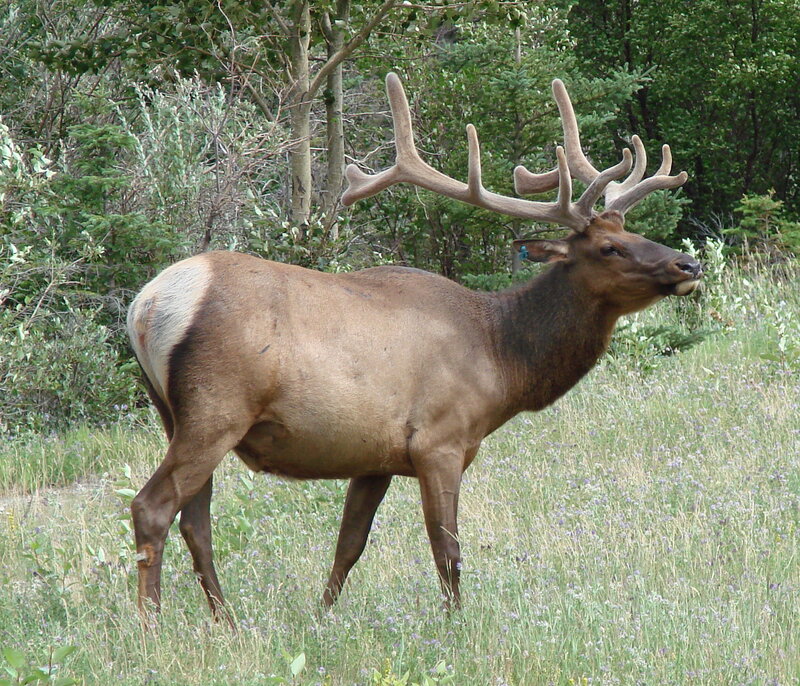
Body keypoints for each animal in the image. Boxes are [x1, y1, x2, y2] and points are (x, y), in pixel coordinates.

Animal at [127, 73, 702, 623]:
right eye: (609, 247)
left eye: (634, 230)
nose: (689, 263)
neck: (501, 360)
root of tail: (146, 306)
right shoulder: (440, 441)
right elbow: (447, 550)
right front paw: (455, 626)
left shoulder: (374, 456)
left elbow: (349, 546)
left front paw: (323, 617)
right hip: (217, 407)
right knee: (152, 508)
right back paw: (151, 626)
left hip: (175, 415)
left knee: (195, 521)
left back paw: (226, 622)